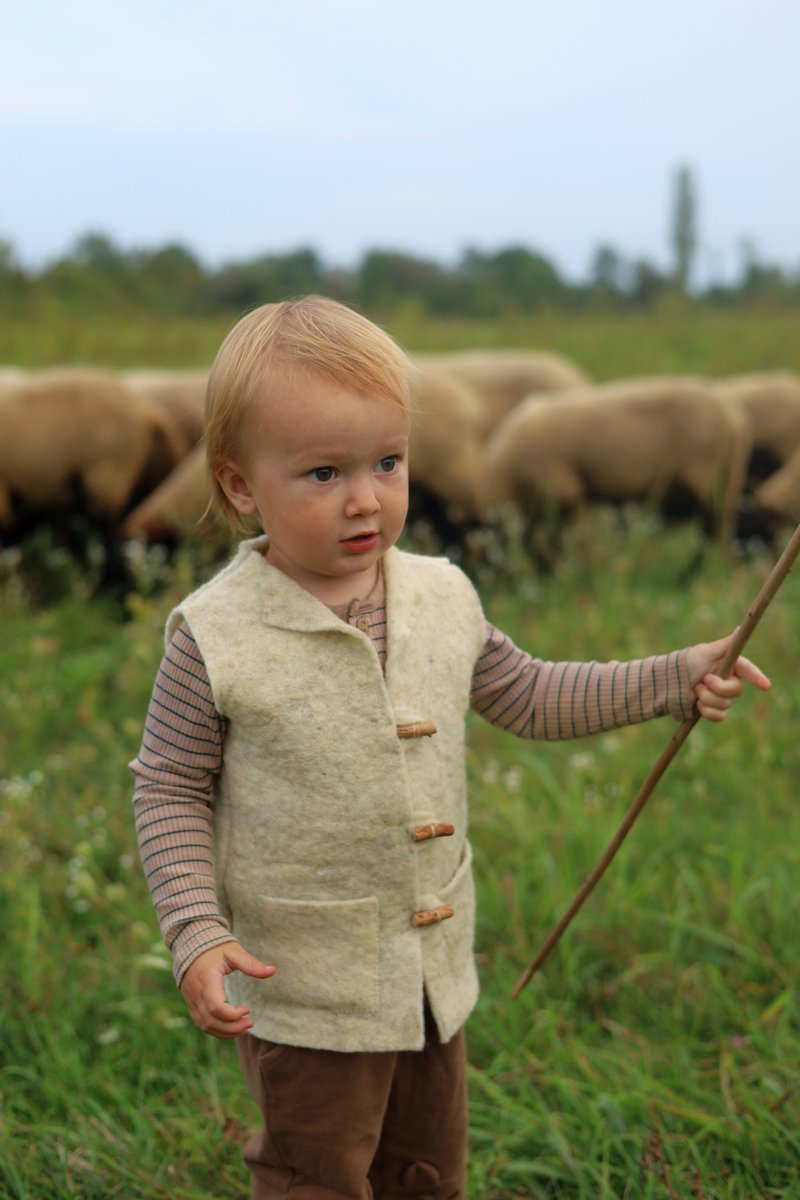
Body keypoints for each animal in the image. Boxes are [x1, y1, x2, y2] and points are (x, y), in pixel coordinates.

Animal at [479, 377, 750, 569]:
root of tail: (733, 417)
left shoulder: (563, 491)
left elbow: (561, 540)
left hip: (711, 480)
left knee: (716, 531)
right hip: (725, 479)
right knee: (714, 531)